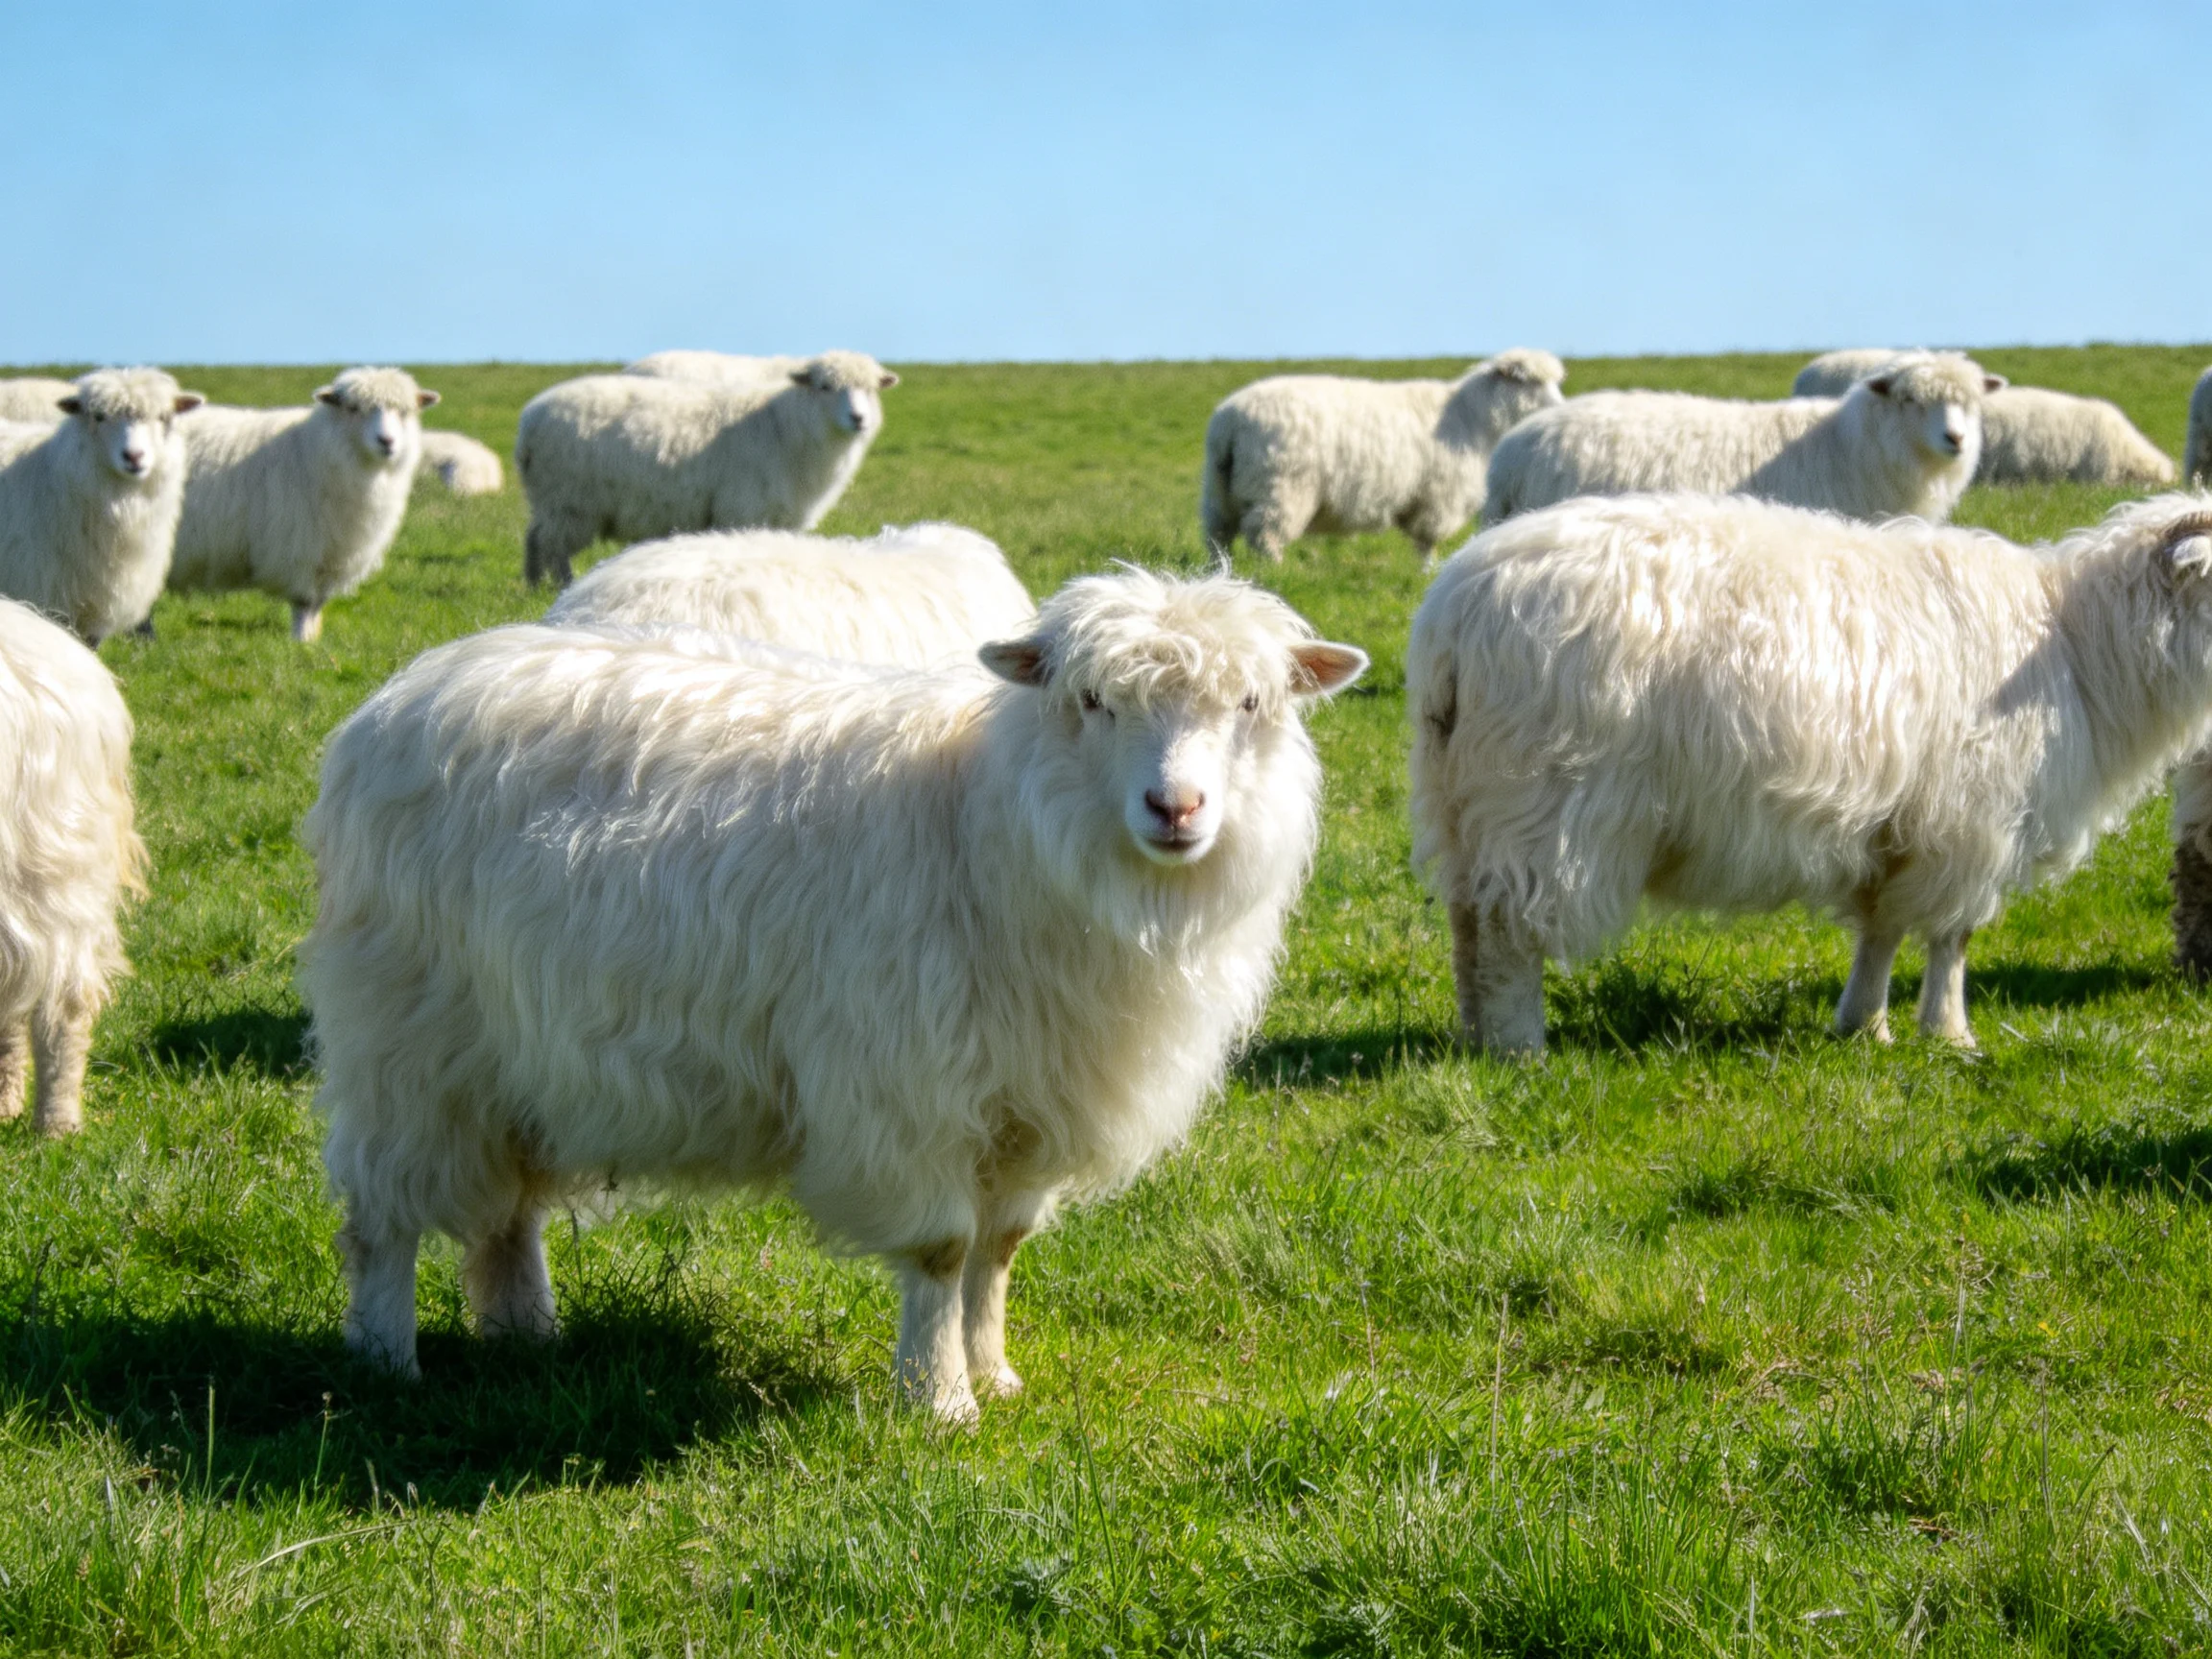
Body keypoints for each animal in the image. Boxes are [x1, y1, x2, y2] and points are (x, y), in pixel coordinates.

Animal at [167, 366, 440, 643]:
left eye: (405, 412)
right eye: (353, 408)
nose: (387, 441)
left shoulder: (333, 556)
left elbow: (317, 604)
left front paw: (312, 640)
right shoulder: (299, 547)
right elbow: (304, 601)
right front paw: (301, 641)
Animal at [302, 568, 1367, 1418]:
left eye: (1251, 704)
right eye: (1094, 700)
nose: (1175, 808)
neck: (991, 825)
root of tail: (409, 689)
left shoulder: (1028, 1098)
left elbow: (1001, 1248)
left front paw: (995, 1375)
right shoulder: (912, 1088)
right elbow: (943, 1253)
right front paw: (940, 1403)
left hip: (510, 1061)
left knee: (505, 1213)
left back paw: (526, 1335)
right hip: (407, 1040)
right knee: (380, 1216)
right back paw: (387, 1361)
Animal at [516, 352, 900, 588]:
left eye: (870, 389)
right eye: (825, 386)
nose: (859, 418)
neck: (783, 427)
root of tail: (528, 422)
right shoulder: (742, 509)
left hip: (551, 500)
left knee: (533, 538)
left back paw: (534, 586)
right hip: (570, 500)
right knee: (553, 547)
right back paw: (562, 586)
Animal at [1200, 348, 1567, 561]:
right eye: (1529, 382)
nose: (1561, 406)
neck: (1474, 416)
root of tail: (1230, 420)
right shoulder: (1438, 495)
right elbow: (1427, 541)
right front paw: (1427, 571)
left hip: (1220, 489)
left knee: (1218, 534)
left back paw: (1222, 571)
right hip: (1281, 488)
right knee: (1265, 535)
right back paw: (1275, 570)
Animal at [1409, 490, 2212, 1055]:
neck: (2079, 645)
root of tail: (1453, 617)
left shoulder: (1902, 827)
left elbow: (1882, 930)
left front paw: (1864, 1026)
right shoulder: (1972, 822)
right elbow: (1951, 939)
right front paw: (1950, 1035)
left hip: (1463, 801)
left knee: (1467, 927)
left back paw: (1476, 1042)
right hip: (1543, 803)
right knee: (1509, 931)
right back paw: (1520, 1049)